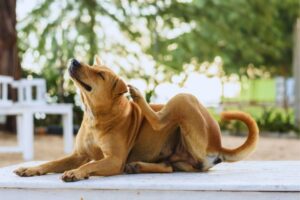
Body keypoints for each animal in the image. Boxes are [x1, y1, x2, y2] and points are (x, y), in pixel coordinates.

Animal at [14, 55, 258, 182]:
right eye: (93, 65)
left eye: (100, 74)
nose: (74, 61)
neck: (96, 116)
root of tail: (218, 143)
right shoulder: (78, 154)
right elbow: (52, 162)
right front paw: (31, 169)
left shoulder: (114, 160)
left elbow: (91, 164)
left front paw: (76, 173)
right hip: (180, 158)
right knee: (168, 167)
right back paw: (137, 166)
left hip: (184, 99)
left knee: (160, 119)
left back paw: (139, 96)